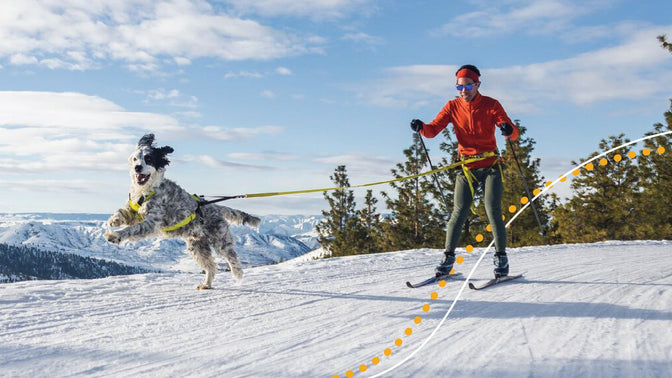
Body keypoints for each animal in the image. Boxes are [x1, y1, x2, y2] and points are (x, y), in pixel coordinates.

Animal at [105, 134, 260, 290]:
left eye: (148, 158)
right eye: (135, 158)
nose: (137, 167)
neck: (145, 191)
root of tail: (216, 208)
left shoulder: (151, 223)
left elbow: (131, 229)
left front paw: (115, 235)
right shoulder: (134, 212)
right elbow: (123, 212)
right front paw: (114, 221)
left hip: (220, 241)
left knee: (232, 256)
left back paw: (237, 272)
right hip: (197, 248)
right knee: (211, 266)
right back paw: (206, 284)